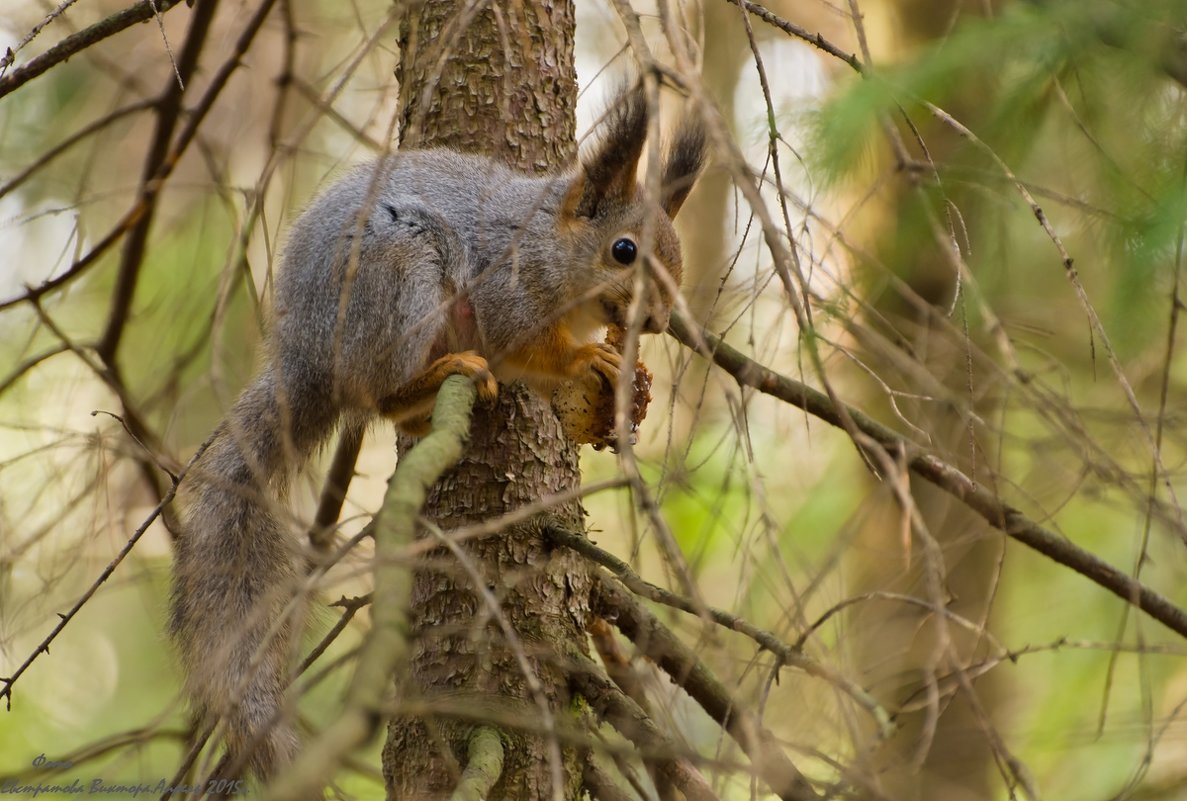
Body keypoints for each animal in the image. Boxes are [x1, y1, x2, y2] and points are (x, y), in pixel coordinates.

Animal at [168, 87, 702, 787]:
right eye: (623, 251)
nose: (661, 323)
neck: (544, 240)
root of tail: (306, 358)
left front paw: (625, 373)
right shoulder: (505, 291)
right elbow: (527, 346)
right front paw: (589, 360)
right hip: (400, 279)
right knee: (379, 393)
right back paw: (442, 375)